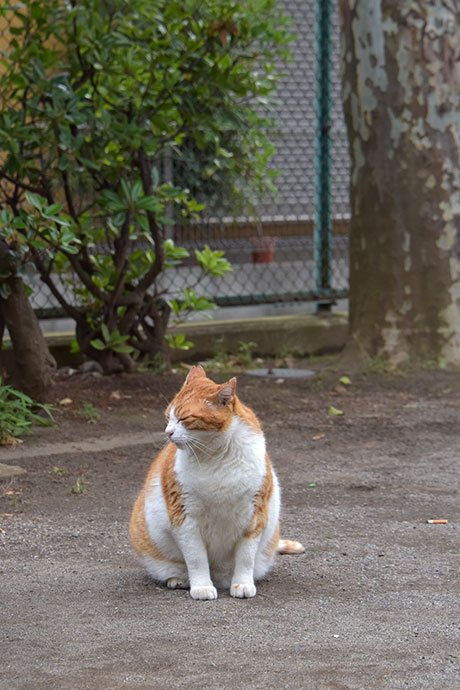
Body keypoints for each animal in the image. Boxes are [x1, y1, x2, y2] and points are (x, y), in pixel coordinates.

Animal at [127, 366, 304, 596]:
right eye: (168, 417)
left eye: (184, 418)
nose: (168, 433)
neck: (215, 455)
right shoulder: (185, 519)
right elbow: (196, 559)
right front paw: (201, 586)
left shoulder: (254, 515)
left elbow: (245, 558)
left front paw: (242, 584)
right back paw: (179, 579)